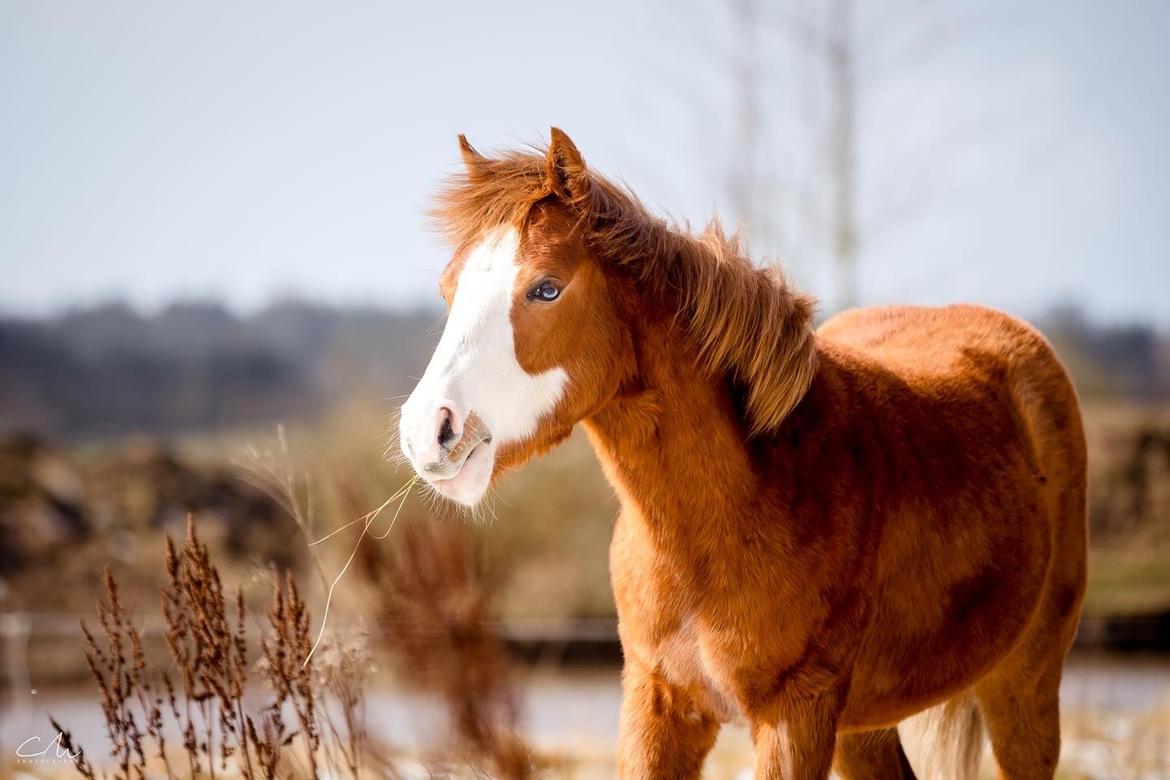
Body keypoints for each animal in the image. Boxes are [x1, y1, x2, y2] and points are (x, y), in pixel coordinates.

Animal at [400, 130, 1085, 776]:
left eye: (546, 288)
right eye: (448, 289)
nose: (428, 432)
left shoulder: (795, 715)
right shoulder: (657, 704)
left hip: (1022, 688)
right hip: (864, 730)